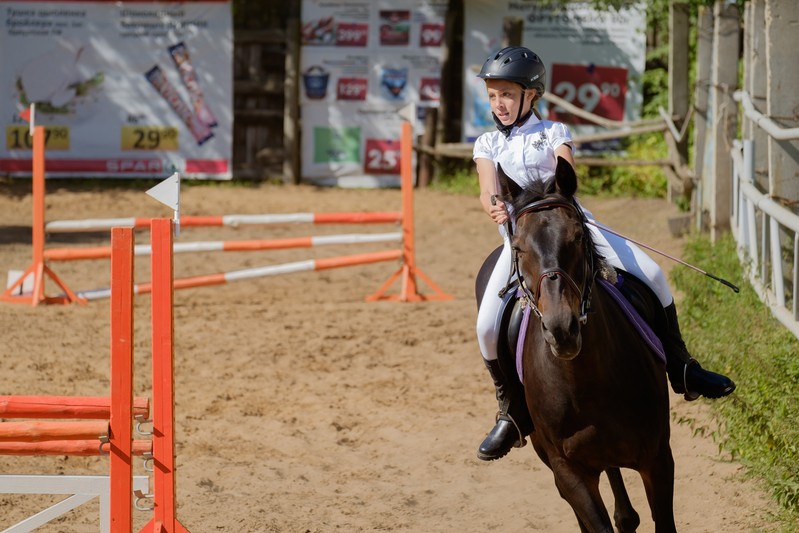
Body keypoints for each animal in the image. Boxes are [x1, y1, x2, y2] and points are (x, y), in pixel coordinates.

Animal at [478, 158, 680, 532]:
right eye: (519, 248)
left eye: (577, 237)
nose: (562, 329)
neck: (584, 379)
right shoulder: (568, 472)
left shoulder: (658, 458)